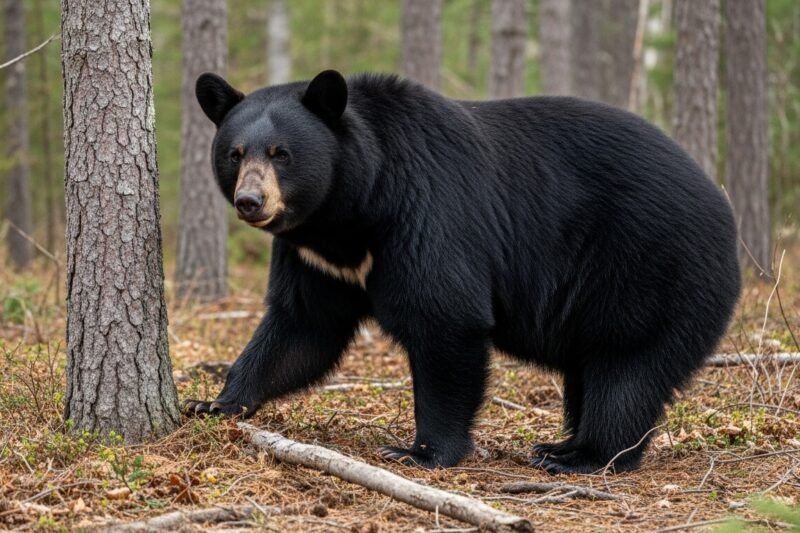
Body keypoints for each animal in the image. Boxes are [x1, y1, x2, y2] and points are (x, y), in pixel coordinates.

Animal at [183, 70, 741, 474]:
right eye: (234, 154)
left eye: (282, 154)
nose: (251, 201)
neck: (349, 211)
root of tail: (725, 213)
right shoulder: (316, 258)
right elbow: (301, 327)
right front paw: (214, 404)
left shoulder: (427, 210)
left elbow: (445, 317)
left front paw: (421, 451)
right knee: (593, 371)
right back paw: (560, 446)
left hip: (648, 266)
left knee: (626, 366)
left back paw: (585, 457)